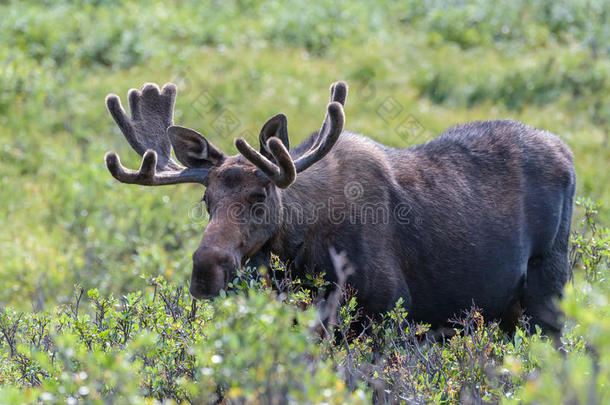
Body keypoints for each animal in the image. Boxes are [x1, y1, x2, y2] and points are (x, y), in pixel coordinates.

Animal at [104, 79, 576, 334]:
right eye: (206, 200)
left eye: (260, 198)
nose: (205, 271)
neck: (300, 256)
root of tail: (567, 152)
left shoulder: (391, 314)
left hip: (548, 290)